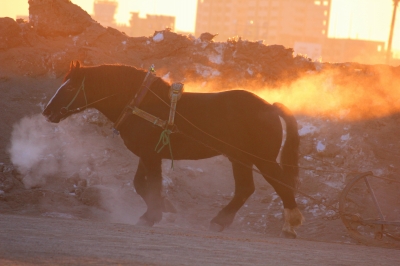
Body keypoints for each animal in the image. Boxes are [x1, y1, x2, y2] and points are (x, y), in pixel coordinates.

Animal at [42, 61, 304, 238]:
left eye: (70, 88)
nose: (47, 111)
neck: (141, 103)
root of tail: (269, 107)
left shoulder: (151, 155)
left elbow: (151, 184)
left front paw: (151, 215)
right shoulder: (148, 154)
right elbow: (140, 184)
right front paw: (164, 207)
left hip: (261, 158)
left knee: (281, 185)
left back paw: (290, 225)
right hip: (240, 158)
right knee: (245, 189)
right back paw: (221, 221)